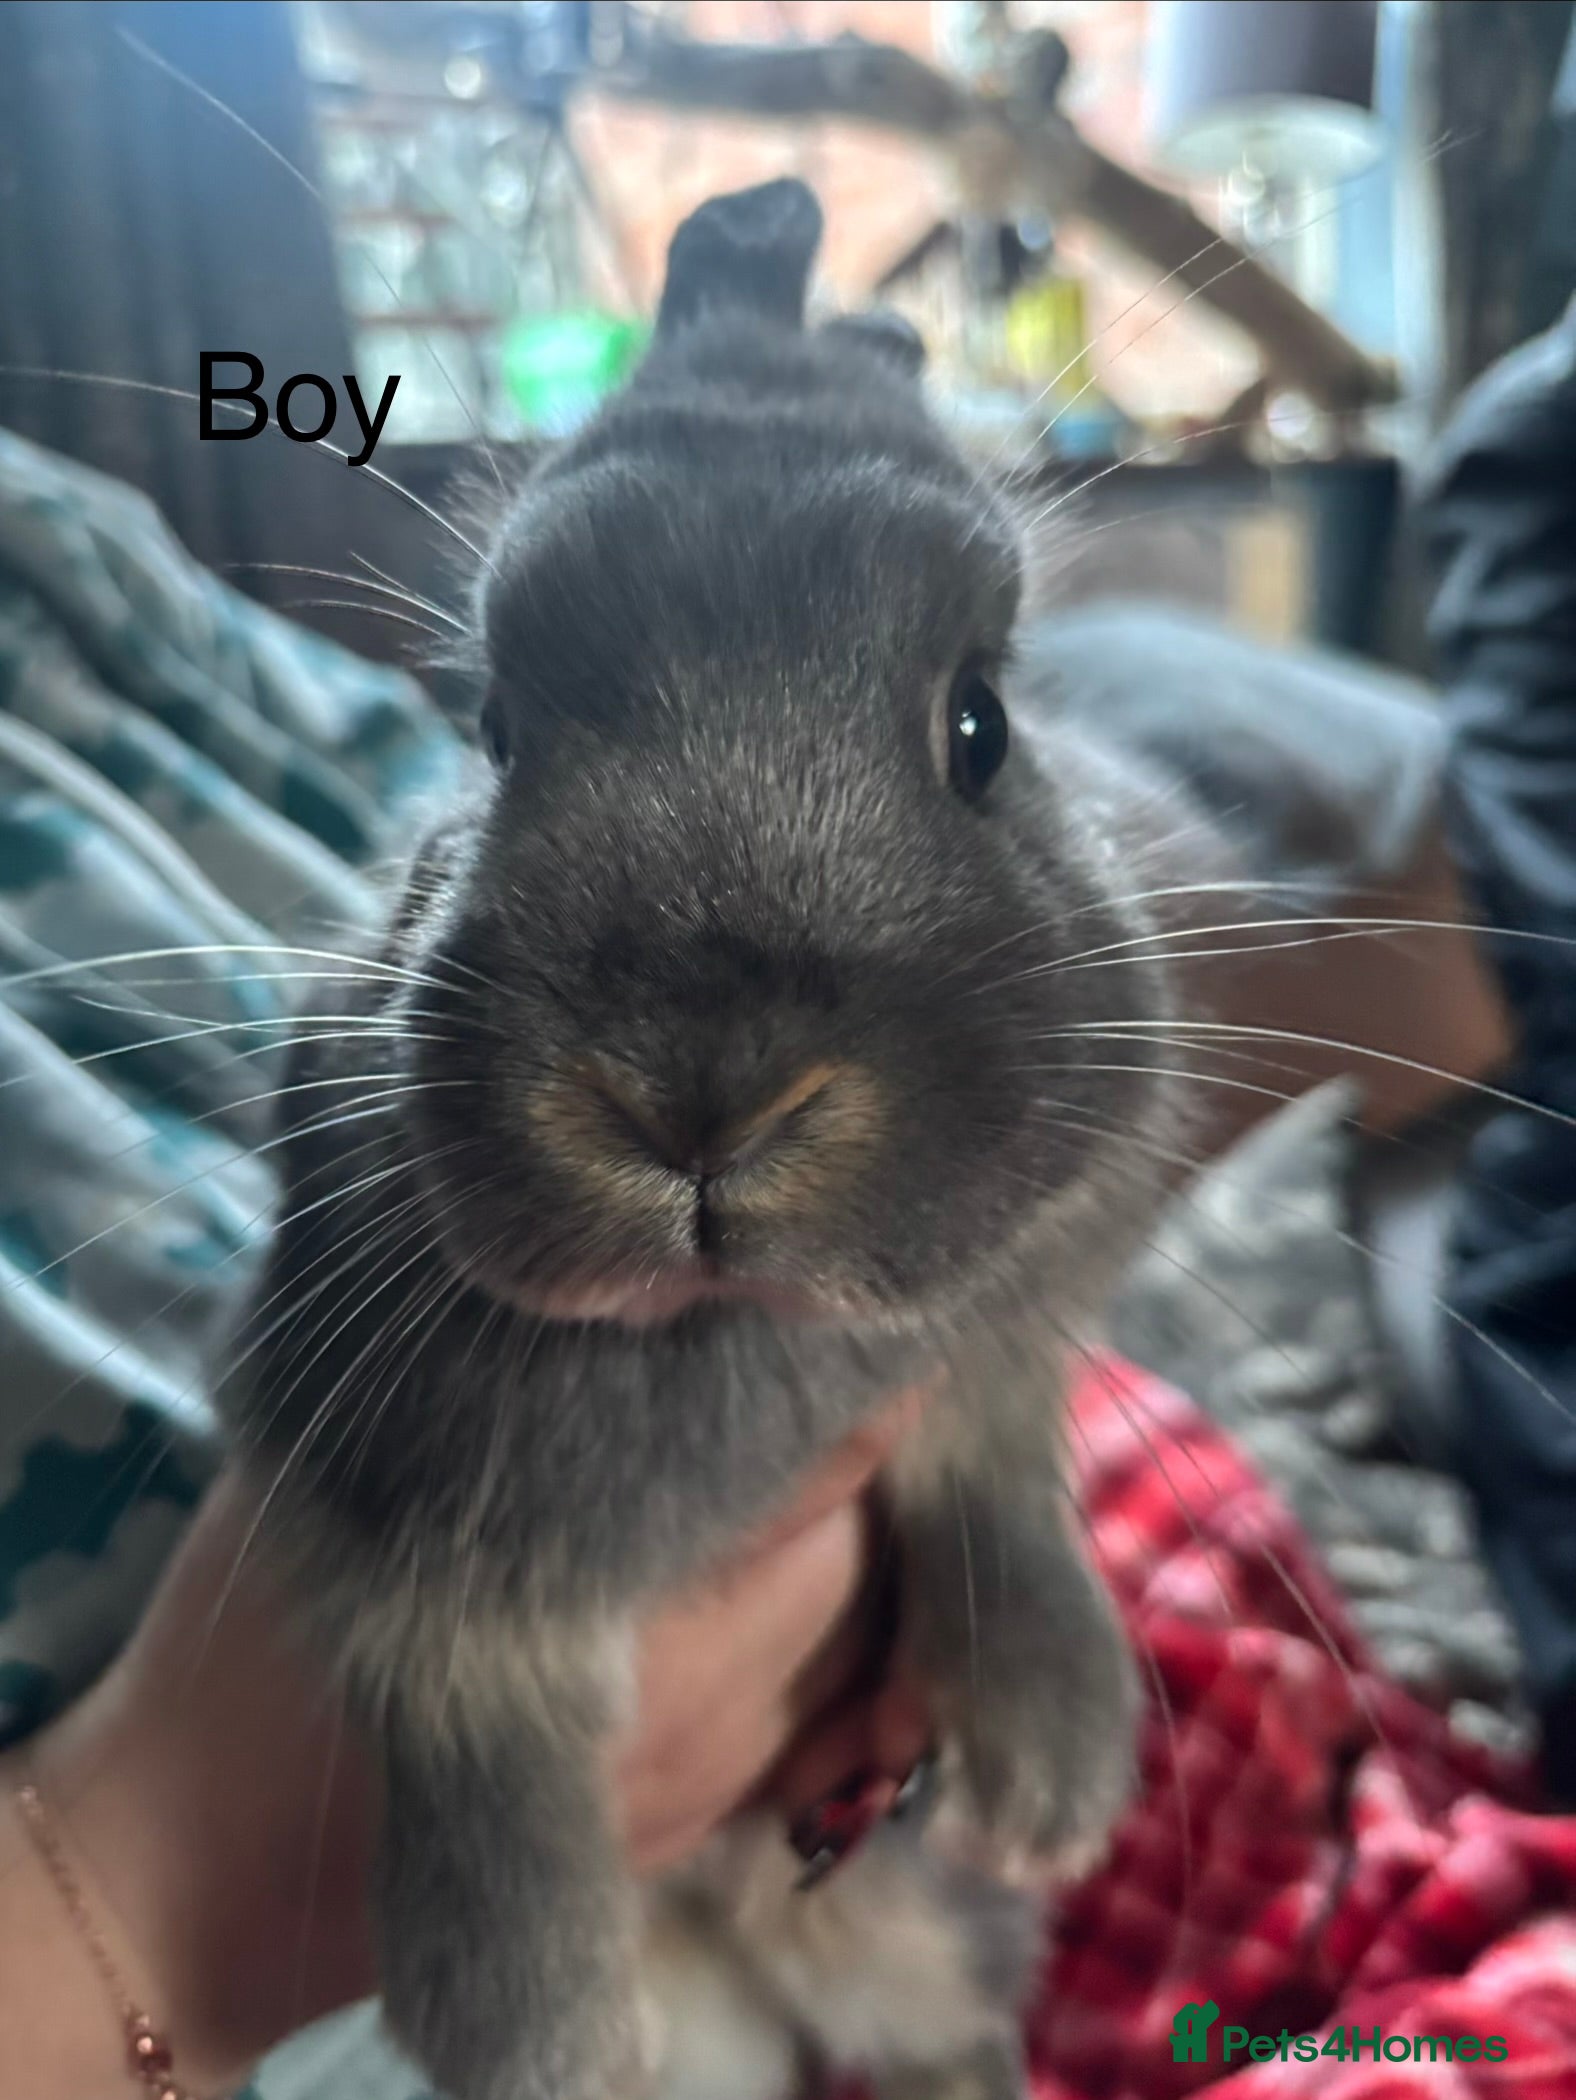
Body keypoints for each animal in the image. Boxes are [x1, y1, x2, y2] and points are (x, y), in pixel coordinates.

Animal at [216, 178, 1213, 2100]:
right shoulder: (377, 1480)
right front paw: (520, 2016)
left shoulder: (1027, 1295)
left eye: (979, 725)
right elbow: (468, 1705)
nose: (701, 1092)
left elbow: (994, 1456)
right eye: (494, 728)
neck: (728, 1332)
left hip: (911, 1945)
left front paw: (1054, 1766)